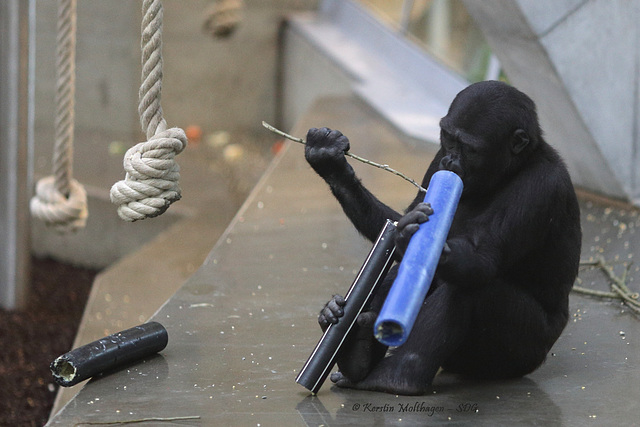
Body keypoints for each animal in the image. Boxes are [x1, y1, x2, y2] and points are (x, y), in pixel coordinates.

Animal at [308, 80, 584, 394]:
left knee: (471, 289)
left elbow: (483, 257)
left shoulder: (540, 186)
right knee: (404, 276)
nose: (451, 160)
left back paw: (399, 377)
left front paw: (423, 239)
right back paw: (358, 355)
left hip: (522, 354)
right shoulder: (436, 161)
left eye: (470, 148)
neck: (511, 169)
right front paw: (332, 164)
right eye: (448, 139)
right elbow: (398, 230)